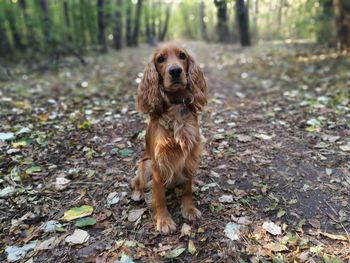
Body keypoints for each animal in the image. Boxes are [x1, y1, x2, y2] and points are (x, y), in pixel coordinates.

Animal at [131, 43, 208, 235]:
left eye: (182, 56)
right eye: (160, 59)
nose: (175, 71)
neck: (175, 106)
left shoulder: (190, 155)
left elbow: (187, 189)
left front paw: (189, 209)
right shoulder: (159, 164)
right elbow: (159, 197)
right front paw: (164, 221)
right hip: (145, 163)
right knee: (136, 182)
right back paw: (137, 193)